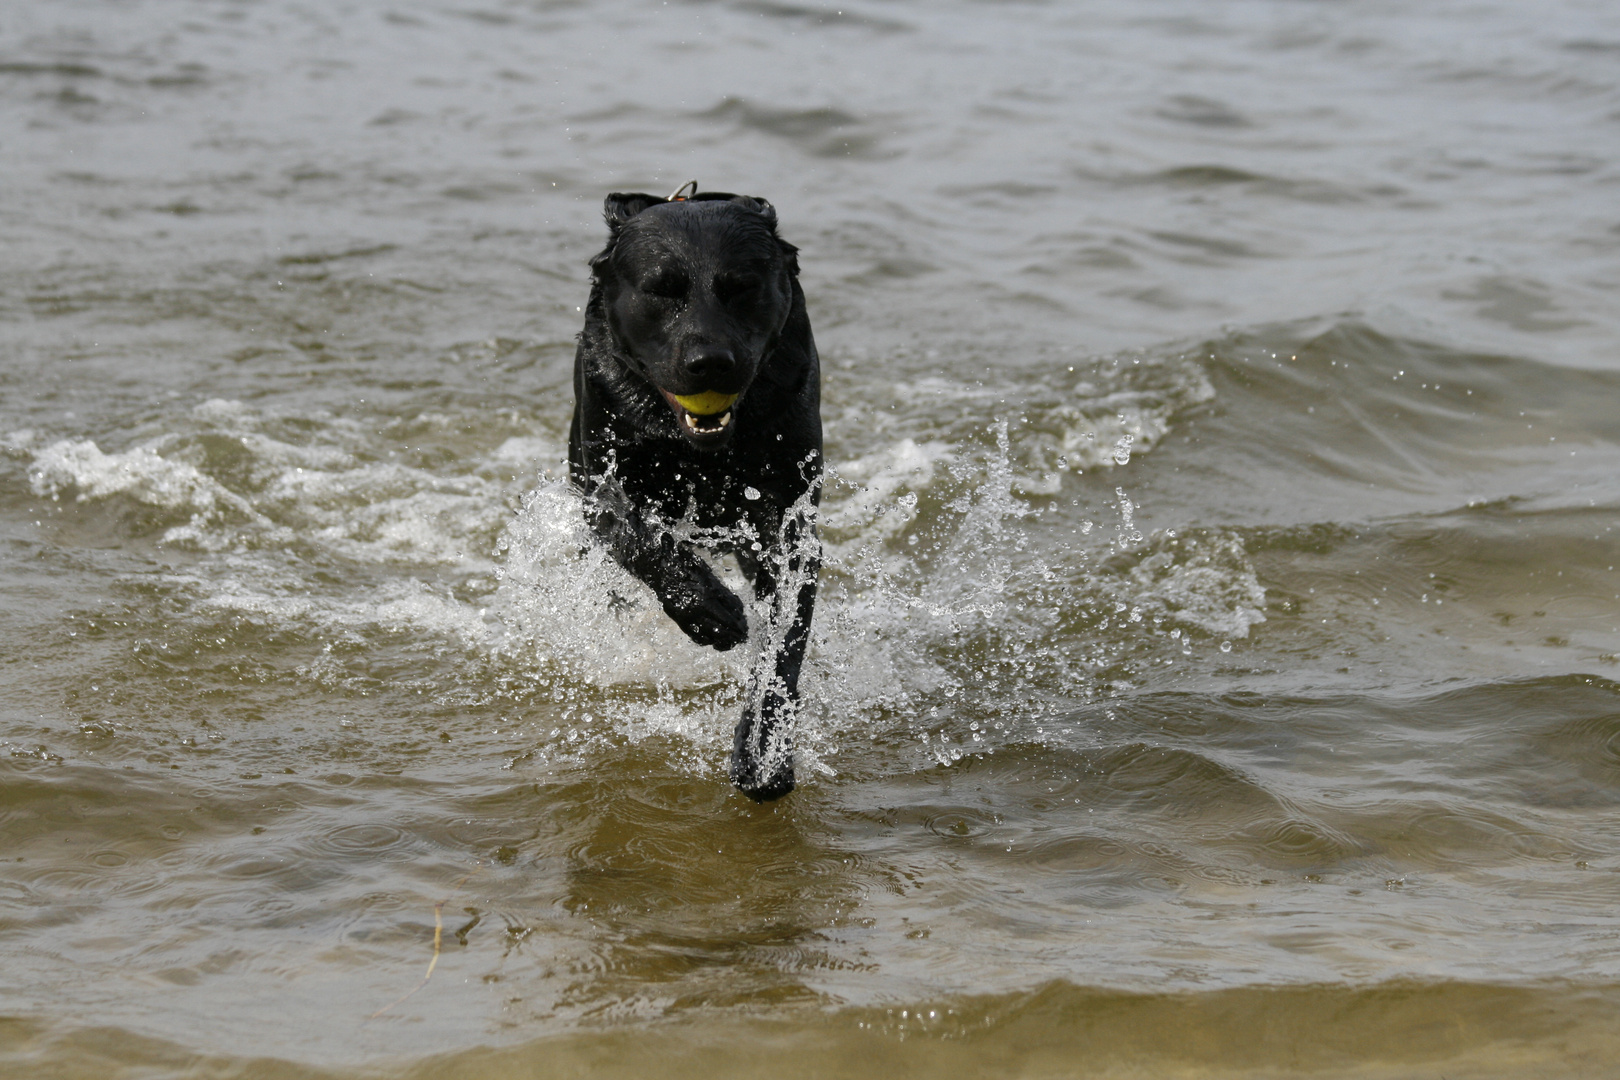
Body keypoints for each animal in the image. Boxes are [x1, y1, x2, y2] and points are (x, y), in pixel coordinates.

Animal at [570, 183, 822, 803]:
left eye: (741, 288)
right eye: (662, 290)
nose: (710, 363)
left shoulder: (789, 523)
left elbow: (784, 641)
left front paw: (763, 753)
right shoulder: (597, 486)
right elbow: (635, 535)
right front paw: (709, 612)